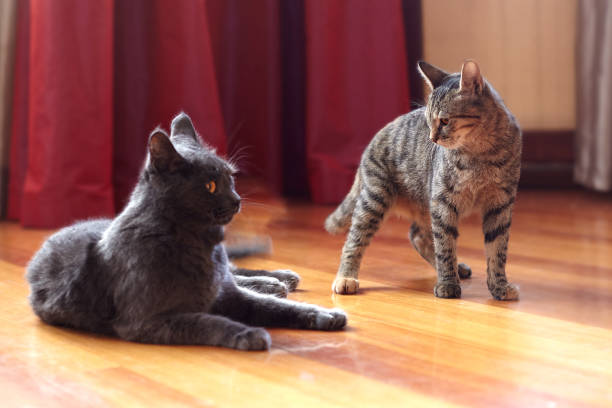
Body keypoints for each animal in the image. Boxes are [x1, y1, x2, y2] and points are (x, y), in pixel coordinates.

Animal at [26, 112, 346, 350]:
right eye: (210, 186)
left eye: (230, 178)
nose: (236, 200)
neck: (202, 244)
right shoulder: (148, 321)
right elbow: (206, 323)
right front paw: (249, 334)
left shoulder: (230, 295)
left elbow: (276, 307)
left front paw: (325, 314)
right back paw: (274, 283)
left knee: (237, 271)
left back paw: (279, 279)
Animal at [326, 59, 520, 300]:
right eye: (429, 122)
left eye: (445, 121)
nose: (432, 138)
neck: (480, 153)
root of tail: (374, 139)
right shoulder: (443, 201)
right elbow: (445, 246)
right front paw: (447, 284)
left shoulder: (500, 205)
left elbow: (497, 251)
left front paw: (499, 286)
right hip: (376, 199)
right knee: (355, 239)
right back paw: (345, 277)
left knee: (418, 235)